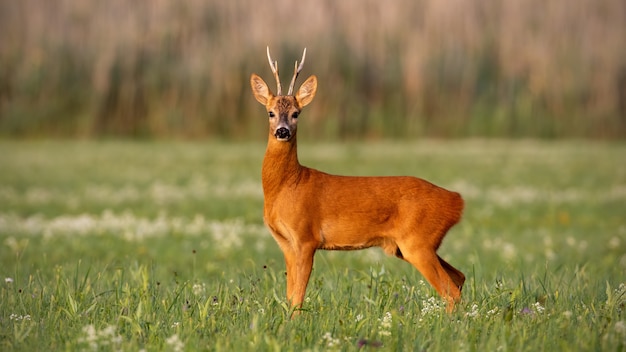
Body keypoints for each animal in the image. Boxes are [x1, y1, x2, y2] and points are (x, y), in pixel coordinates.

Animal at [250, 46, 464, 314]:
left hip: (418, 242)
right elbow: (290, 296)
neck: (287, 186)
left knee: (451, 291)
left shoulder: (306, 237)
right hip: (413, 246)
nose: (282, 131)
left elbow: (298, 297)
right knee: (460, 278)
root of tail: (456, 201)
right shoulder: (286, 243)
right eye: (270, 112)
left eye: (296, 113)